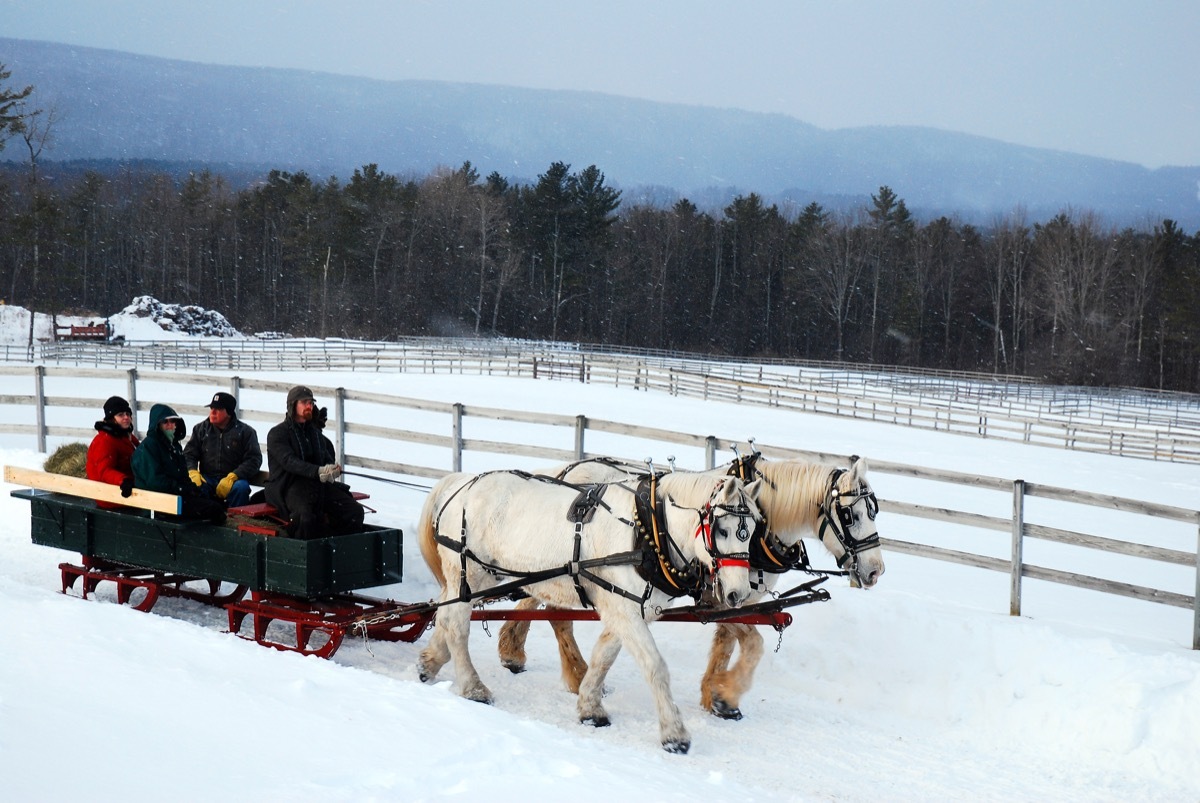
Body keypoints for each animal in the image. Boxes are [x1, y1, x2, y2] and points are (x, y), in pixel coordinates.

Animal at [417, 470, 763, 753]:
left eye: (752, 530)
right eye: (722, 530)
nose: (739, 593)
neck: (648, 529)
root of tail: (461, 483)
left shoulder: (627, 608)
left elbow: (603, 656)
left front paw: (590, 707)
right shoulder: (625, 611)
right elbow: (655, 666)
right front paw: (674, 734)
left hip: (473, 579)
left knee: (444, 615)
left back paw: (431, 662)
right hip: (471, 573)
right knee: (457, 624)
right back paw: (473, 687)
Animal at [494, 451, 883, 720]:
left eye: (874, 511)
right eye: (850, 515)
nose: (876, 571)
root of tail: (567, 471)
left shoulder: (739, 595)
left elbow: (727, 642)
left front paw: (717, 695)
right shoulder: (720, 596)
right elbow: (753, 643)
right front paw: (727, 693)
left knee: (541, 601)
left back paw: (517, 652)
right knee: (554, 611)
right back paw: (564, 671)